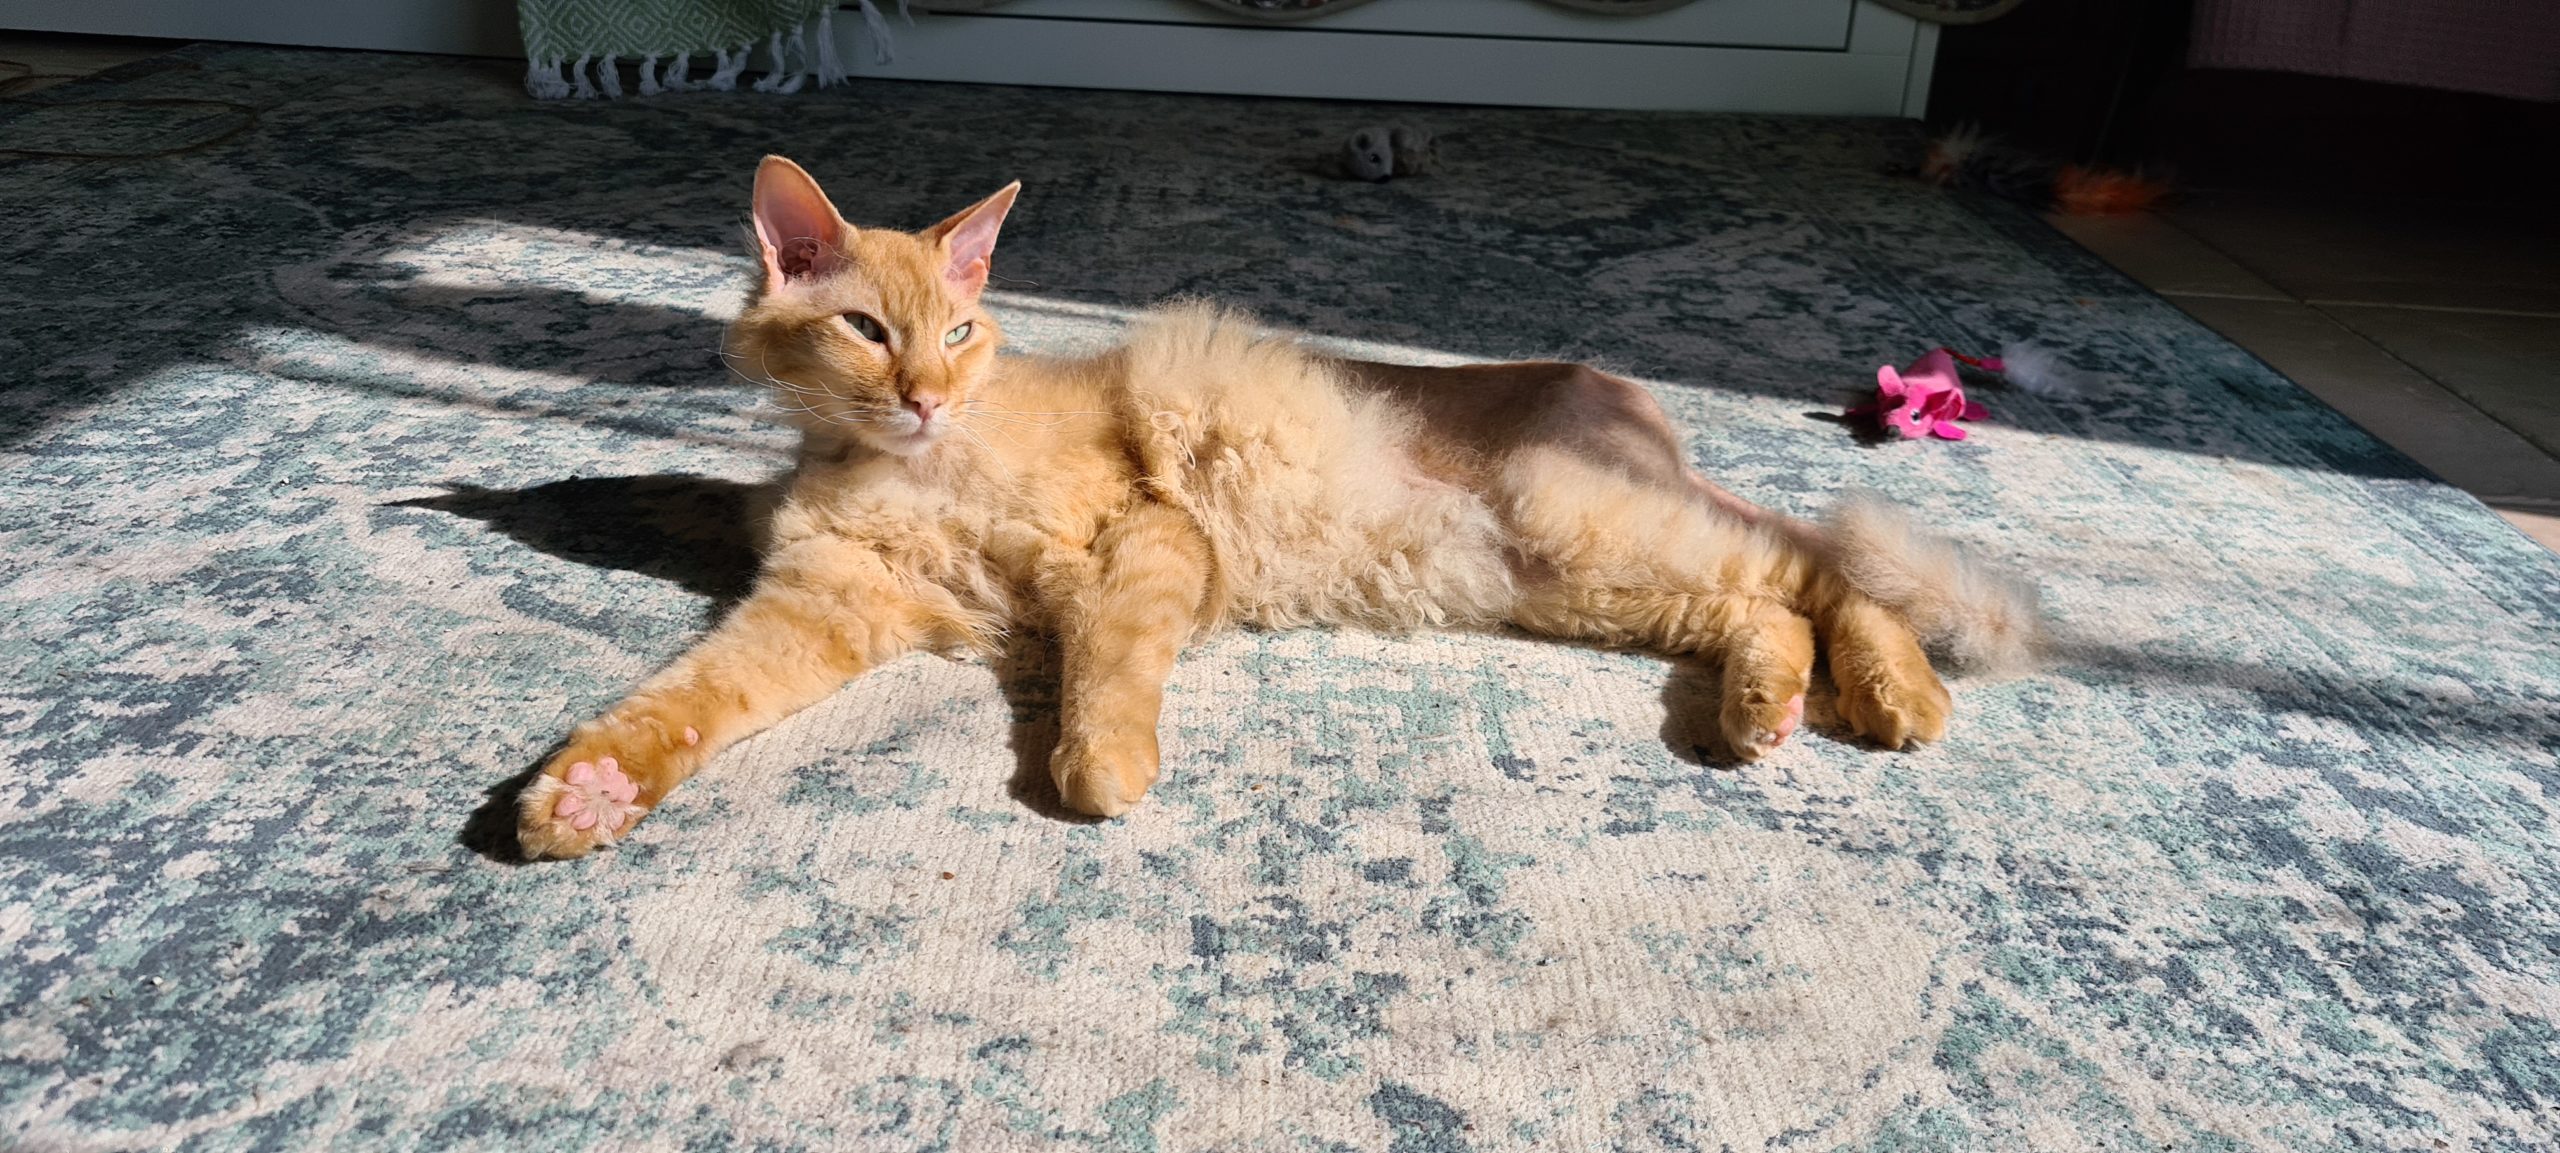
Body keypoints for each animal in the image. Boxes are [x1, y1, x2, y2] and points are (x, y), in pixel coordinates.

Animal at [519, 162, 2037, 860]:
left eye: (960, 332)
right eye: (863, 331)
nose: (928, 397)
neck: (907, 471)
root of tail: (1612, 387)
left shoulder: (1146, 541)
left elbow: (1107, 662)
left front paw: (1097, 765)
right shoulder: (822, 609)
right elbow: (687, 701)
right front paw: (590, 787)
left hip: (1594, 523)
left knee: (1829, 566)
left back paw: (1895, 692)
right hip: (1576, 575)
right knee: (1761, 604)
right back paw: (1763, 711)